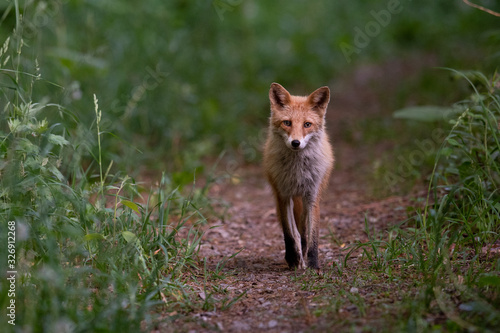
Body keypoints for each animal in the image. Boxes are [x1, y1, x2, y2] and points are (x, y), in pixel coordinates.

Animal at [264, 83, 334, 270]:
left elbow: (313, 236)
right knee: (295, 231)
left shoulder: (312, 196)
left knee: (303, 232)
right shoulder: (283, 195)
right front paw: (293, 258)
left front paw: (313, 265)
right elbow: (289, 233)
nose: (296, 143)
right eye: (287, 123)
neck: (297, 173)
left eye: (307, 124)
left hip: (304, 200)